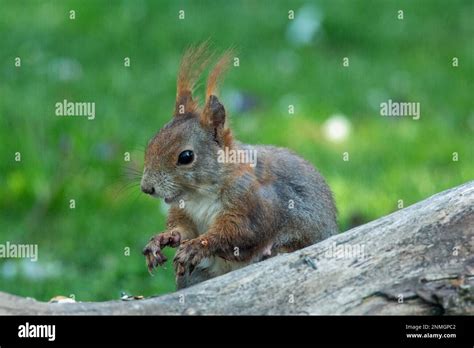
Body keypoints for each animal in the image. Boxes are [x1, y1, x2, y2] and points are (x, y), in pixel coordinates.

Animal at [139, 43, 338, 288]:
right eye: (151, 143)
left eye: (186, 157)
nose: (146, 188)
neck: (199, 196)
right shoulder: (184, 211)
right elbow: (183, 229)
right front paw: (163, 238)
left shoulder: (252, 203)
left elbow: (239, 233)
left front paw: (197, 246)